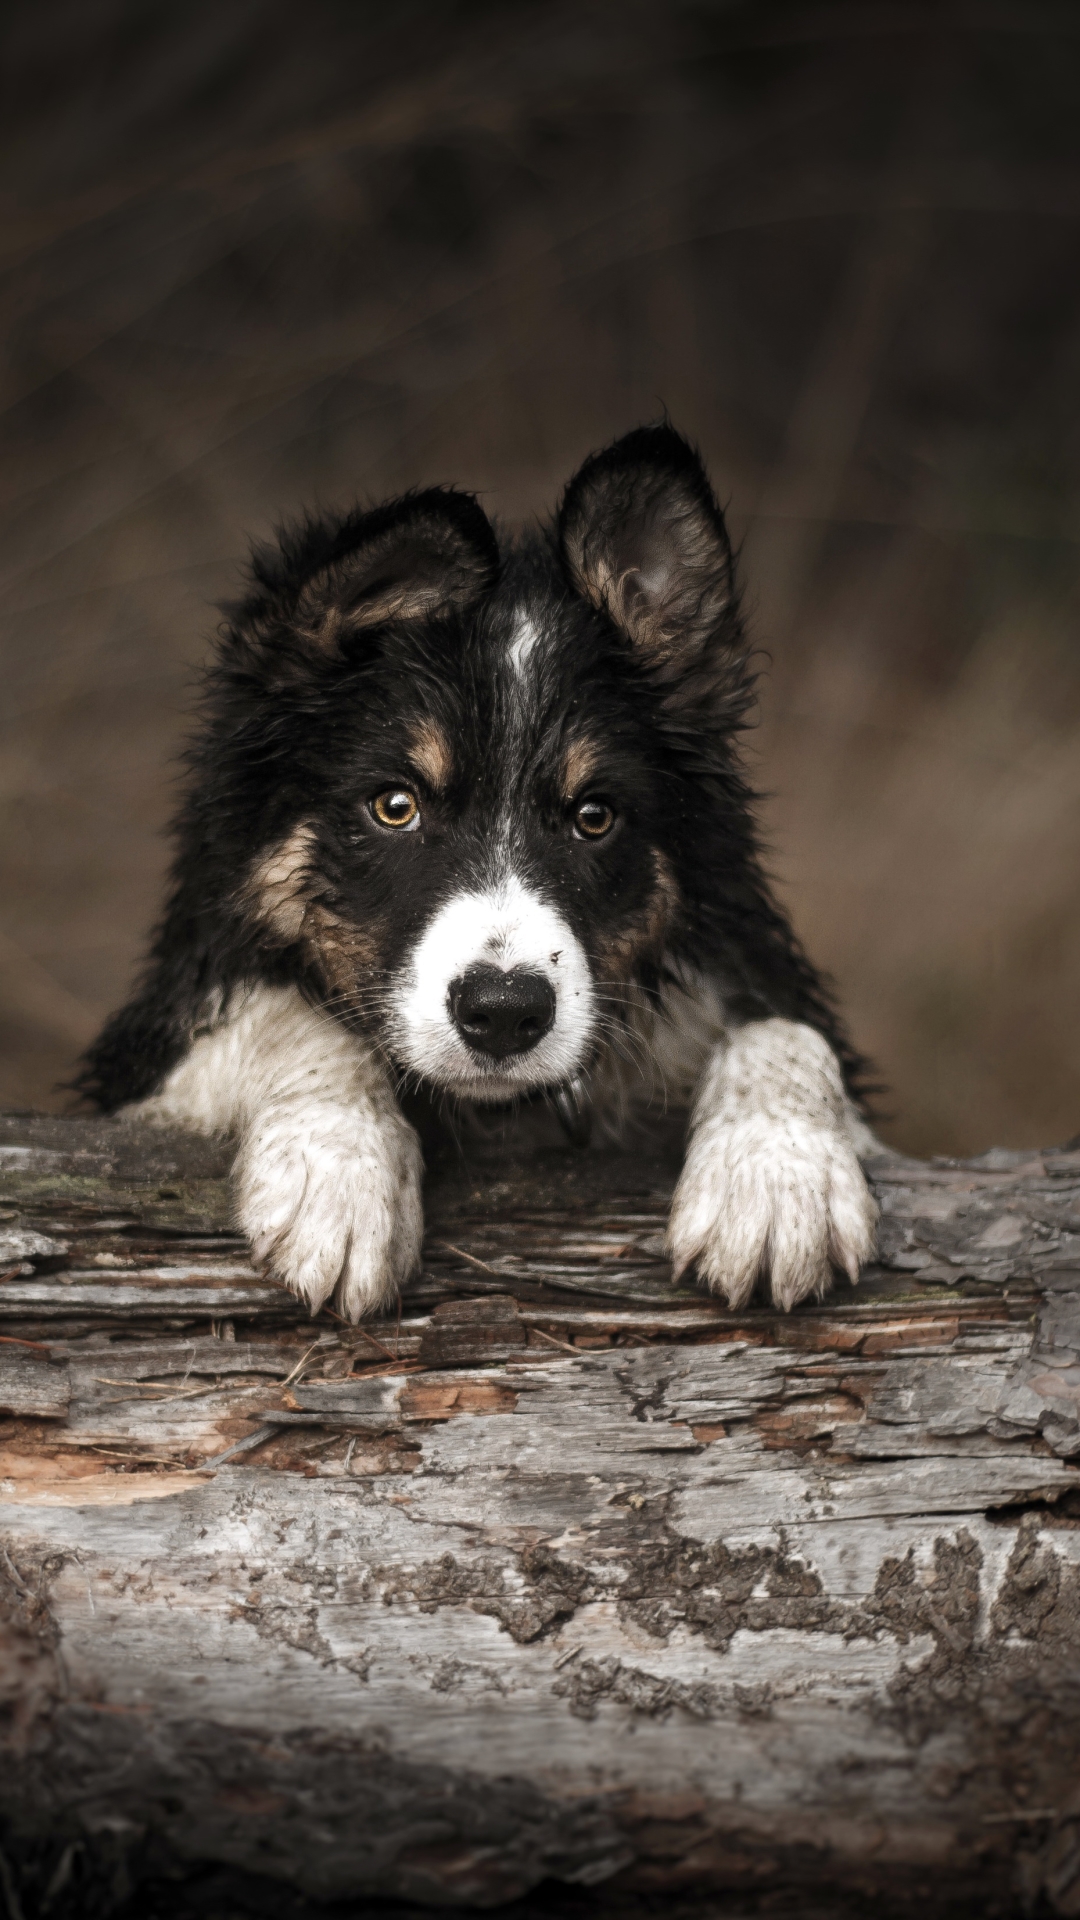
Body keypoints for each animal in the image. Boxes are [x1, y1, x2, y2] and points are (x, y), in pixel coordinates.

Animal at [79, 424, 880, 1320]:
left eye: (594, 816)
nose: (503, 1014)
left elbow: (785, 1028)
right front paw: (338, 1174)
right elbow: (292, 1016)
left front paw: (779, 1181)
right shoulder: (141, 1053)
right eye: (395, 806)